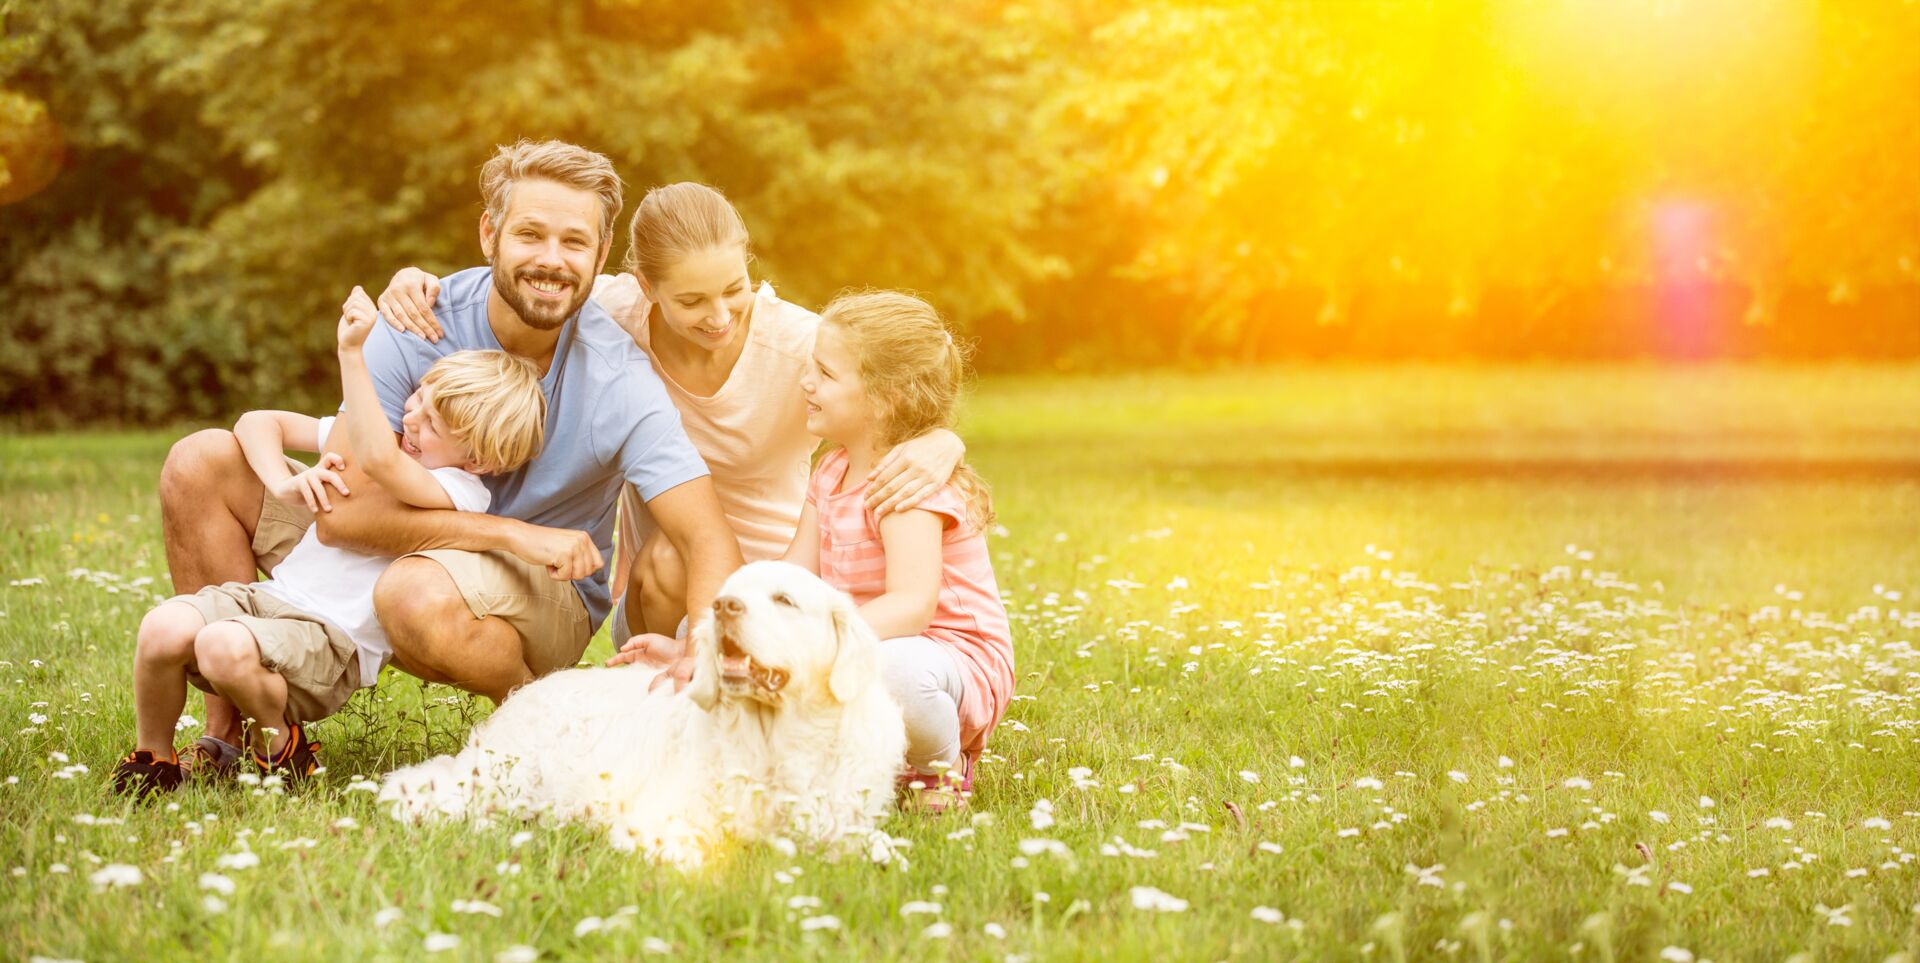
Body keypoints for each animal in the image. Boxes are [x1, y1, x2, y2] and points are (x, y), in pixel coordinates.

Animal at [385, 560, 910, 867]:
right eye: (730, 591)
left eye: (785, 600)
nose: (723, 605)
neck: (776, 740)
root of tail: (529, 690)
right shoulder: (666, 822)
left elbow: (883, 852)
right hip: (506, 779)